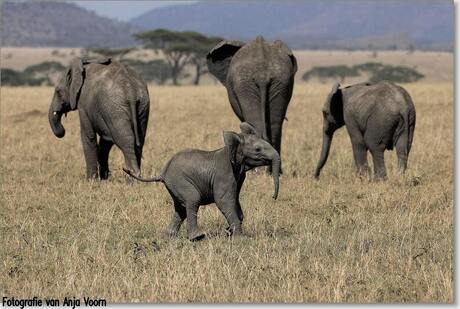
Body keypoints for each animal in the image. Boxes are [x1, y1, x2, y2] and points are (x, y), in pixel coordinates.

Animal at [123, 121, 280, 239]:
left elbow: (235, 199)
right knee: (193, 199)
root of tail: (163, 172)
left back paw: (170, 237)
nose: (273, 197)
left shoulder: (238, 175)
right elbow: (223, 200)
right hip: (180, 181)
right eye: (258, 149)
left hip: (174, 185)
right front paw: (239, 238)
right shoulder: (225, 173)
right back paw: (197, 237)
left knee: (180, 209)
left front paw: (229, 232)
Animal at [206, 36, 298, 171]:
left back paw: (258, 170)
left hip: (245, 84)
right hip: (281, 82)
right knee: (276, 124)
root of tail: (262, 73)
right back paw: (272, 170)